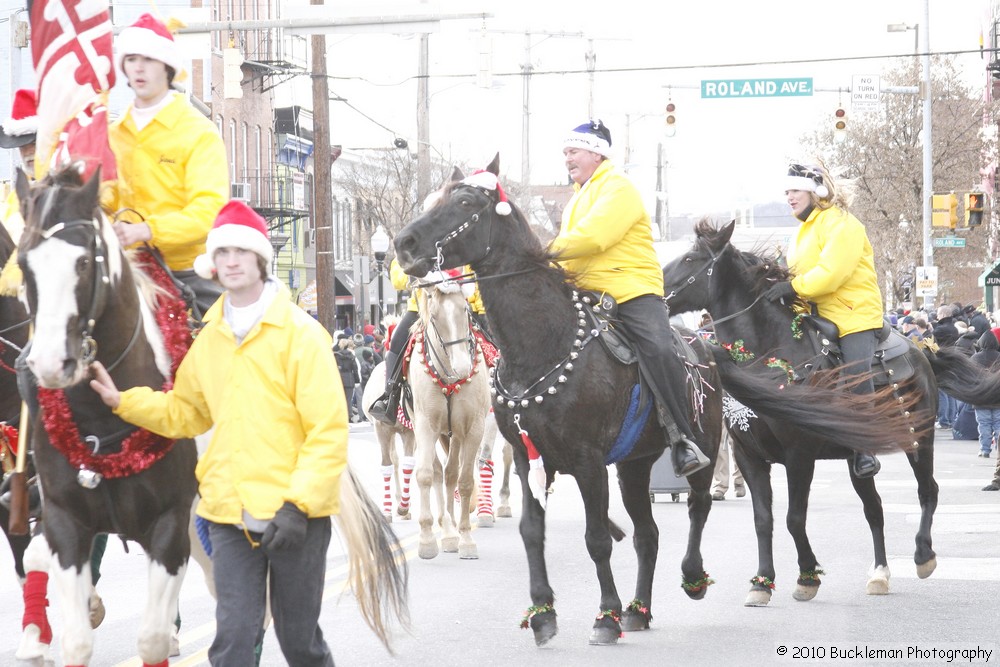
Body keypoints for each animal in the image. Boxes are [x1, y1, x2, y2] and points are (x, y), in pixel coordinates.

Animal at [664, 222, 1000, 608]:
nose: (656, 288)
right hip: (859, 460)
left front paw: (807, 576)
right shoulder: (750, 455)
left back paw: (923, 556)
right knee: (875, 509)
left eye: (691, 258)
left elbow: (794, 518)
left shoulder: (799, 456)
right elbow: (763, 519)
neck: (770, 357)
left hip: (919, 438)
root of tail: (921, 351)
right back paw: (879, 573)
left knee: (927, 490)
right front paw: (762, 582)